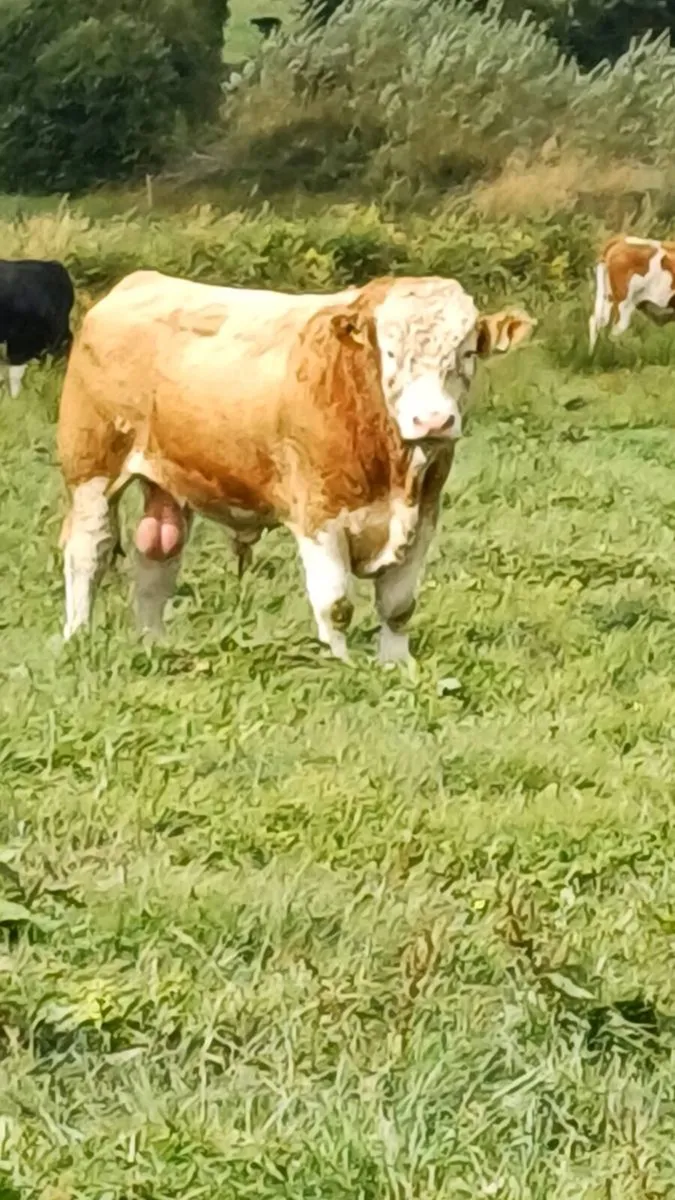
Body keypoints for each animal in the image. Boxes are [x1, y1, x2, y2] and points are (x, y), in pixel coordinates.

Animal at [57, 271, 534, 663]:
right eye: (390, 352)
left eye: (467, 352)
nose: (433, 421)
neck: (395, 472)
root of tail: (135, 283)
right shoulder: (318, 515)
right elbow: (336, 605)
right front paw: (339, 666)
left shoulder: (424, 517)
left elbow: (399, 607)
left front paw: (396, 666)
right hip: (92, 467)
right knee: (88, 551)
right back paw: (77, 635)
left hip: (169, 480)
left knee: (157, 559)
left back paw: (153, 643)